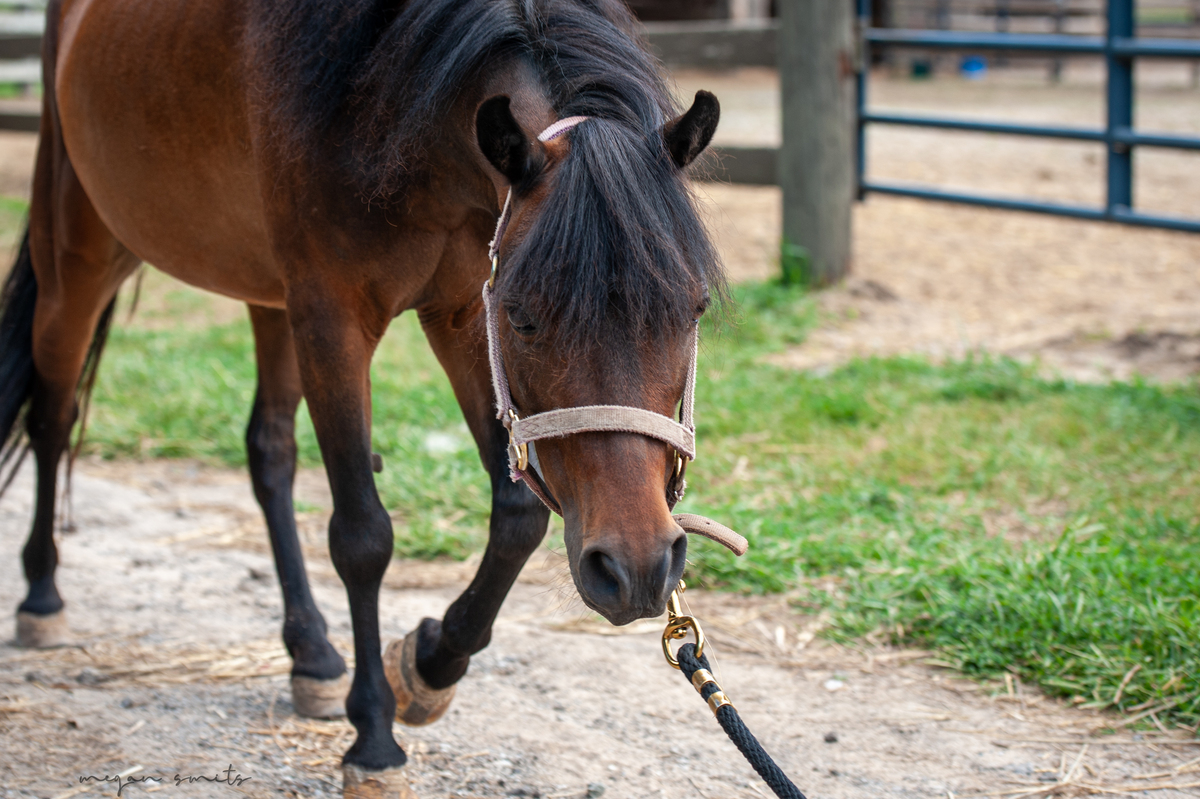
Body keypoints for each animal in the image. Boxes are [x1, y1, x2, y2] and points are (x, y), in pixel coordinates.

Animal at [0, 0, 725, 795]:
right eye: (525, 316)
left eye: (692, 309)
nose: (639, 567)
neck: (386, 94)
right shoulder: (336, 318)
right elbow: (362, 536)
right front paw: (374, 737)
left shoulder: (459, 312)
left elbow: (518, 516)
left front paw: (428, 664)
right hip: (81, 252)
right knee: (52, 416)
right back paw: (41, 596)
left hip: (270, 295)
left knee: (268, 451)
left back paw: (312, 653)